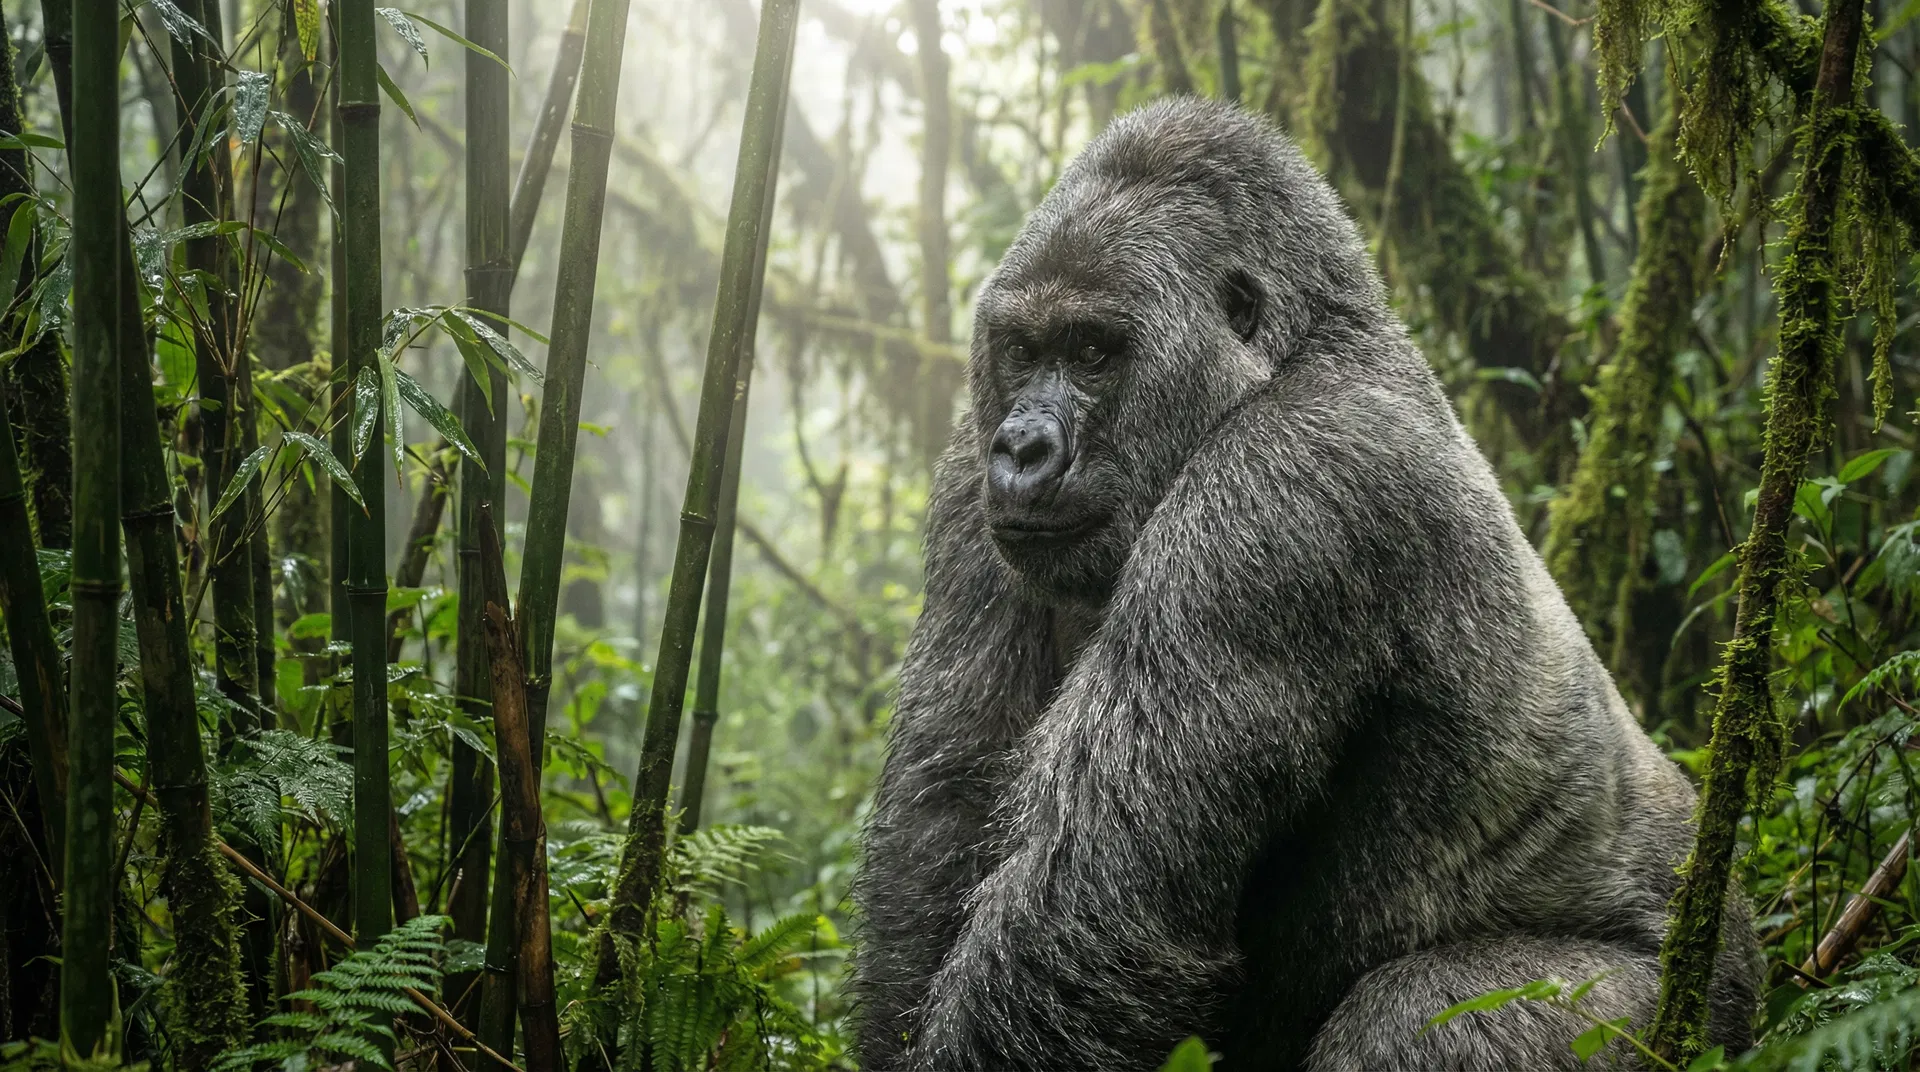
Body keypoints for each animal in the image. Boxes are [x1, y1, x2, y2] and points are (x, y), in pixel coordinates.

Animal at [849, 98, 1760, 1071]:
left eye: (1093, 350)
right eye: (1022, 350)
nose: (1021, 447)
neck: (1299, 352)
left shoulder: (1288, 487)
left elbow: (1092, 907)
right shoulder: (966, 479)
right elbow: (945, 812)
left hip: (1680, 1012)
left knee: (1412, 1020)